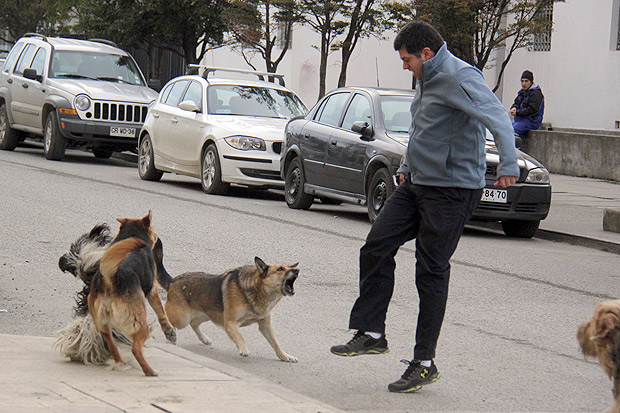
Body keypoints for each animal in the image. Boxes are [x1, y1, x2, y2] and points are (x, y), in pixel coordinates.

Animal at [56, 211, 176, 374]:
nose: (159, 241)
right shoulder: (152, 288)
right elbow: (161, 311)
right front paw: (169, 331)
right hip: (136, 322)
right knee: (134, 347)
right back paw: (148, 370)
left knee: (110, 343)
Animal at [156, 248, 300, 360]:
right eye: (280, 269)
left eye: (290, 267)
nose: (297, 270)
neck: (259, 290)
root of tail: (173, 281)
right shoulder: (230, 323)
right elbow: (240, 337)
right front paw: (243, 348)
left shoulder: (265, 325)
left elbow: (275, 343)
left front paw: (285, 356)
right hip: (182, 319)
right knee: (169, 320)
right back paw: (170, 336)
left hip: (207, 314)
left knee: (194, 323)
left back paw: (204, 338)